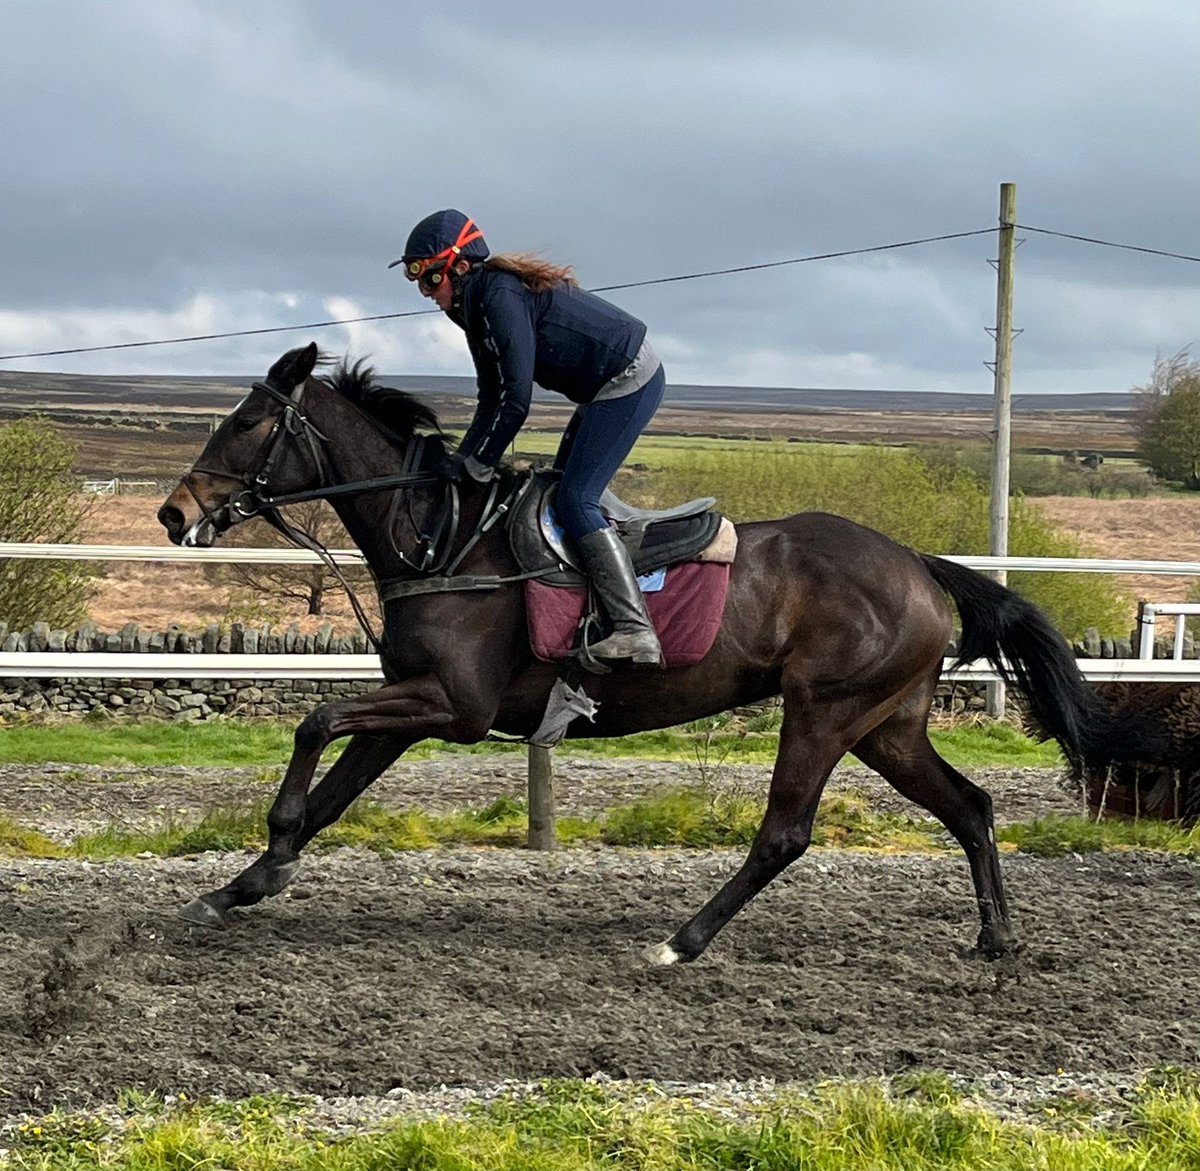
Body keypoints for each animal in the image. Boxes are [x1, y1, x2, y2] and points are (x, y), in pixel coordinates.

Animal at [157, 343, 1142, 964]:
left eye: (245, 424)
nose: (174, 512)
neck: (441, 535)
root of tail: (919, 563)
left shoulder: (455, 705)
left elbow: (315, 722)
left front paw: (261, 863)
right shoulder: (412, 702)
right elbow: (331, 789)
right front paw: (245, 883)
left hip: (825, 710)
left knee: (785, 832)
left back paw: (681, 940)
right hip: (886, 722)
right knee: (971, 806)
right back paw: (997, 937)